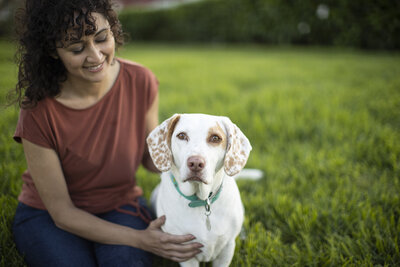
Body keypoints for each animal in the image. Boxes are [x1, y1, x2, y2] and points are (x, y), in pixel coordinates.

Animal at [148, 113, 250, 267]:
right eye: (182, 135)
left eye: (215, 138)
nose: (195, 163)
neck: (201, 200)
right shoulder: (185, 252)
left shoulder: (226, 249)